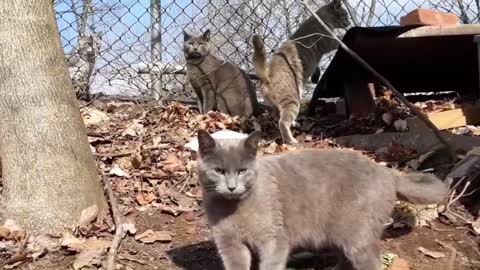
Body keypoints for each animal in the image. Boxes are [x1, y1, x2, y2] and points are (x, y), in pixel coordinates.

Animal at [195, 130, 450, 268]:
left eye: (242, 171)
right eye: (219, 170)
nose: (231, 187)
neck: (233, 209)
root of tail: (386, 170)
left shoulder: (273, 239)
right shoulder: (228, 243)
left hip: (358, 232)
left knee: (370, 262)